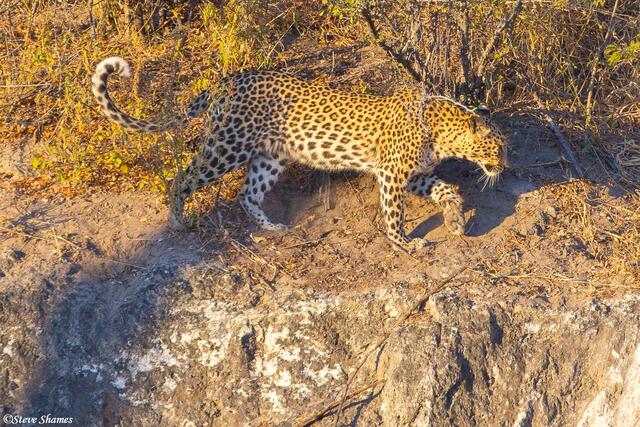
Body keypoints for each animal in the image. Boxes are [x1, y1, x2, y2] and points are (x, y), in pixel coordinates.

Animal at [92, 56, 508, 252]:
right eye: (500, 147)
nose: (505, 165)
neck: (444, 133)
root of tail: (225, 80)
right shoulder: (391, 174)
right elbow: (395, 214)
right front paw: (404, 243)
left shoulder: (413, 173)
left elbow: (446, 189)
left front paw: (455, 220)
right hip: (228, 145)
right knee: (183, 178)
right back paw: (178, 222)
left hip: (269, 157)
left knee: (248, 193)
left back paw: (271, 228)